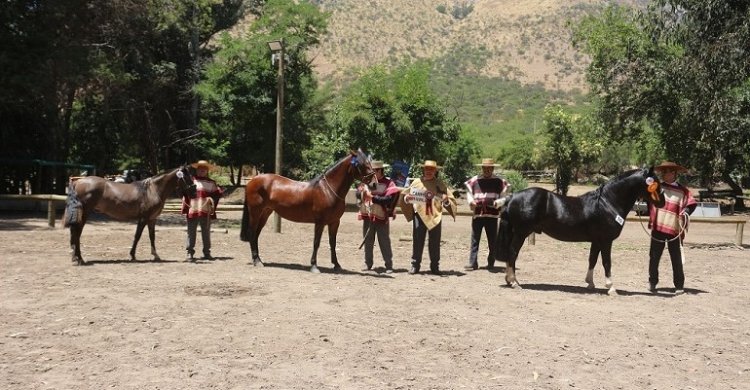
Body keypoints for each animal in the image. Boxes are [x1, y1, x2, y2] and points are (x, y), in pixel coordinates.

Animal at [63, 165, 195, 266]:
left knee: (74, 232)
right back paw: (79, 259)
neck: (152, 190)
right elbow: (137, 236)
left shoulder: (152, 219)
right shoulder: (143, 218)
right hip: (85, 212)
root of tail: (77, 181)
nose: (194, 191)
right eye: (186, 177)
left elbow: (152, 237)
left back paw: (76, 258)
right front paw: (132, 255)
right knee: (77, 232)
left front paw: (156, 255)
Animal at [242, 149, 376, 274]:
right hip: (255, 212)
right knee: (252, 233)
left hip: (265, 213)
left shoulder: (334, 222)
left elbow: (332, 243)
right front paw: (314, 266)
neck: (328, 189)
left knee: (256, 234)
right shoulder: (320, 222)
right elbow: (316, 243)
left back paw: (258, 259)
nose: (374, 184)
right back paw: (257, 261)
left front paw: (337, 265)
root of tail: (252, 180)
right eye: (362, 164)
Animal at [496, 166, 668, 294]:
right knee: (512, 252)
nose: (663, 202)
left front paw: (590, 283)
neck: (608, 203)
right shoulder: (606, 241)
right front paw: (611, 287)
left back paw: (511, 281)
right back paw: (514, 283)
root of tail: (512, 197)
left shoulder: (596, 241)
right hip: (521, 232)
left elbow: (592, 259)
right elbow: (607, 262)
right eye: (655, 182)